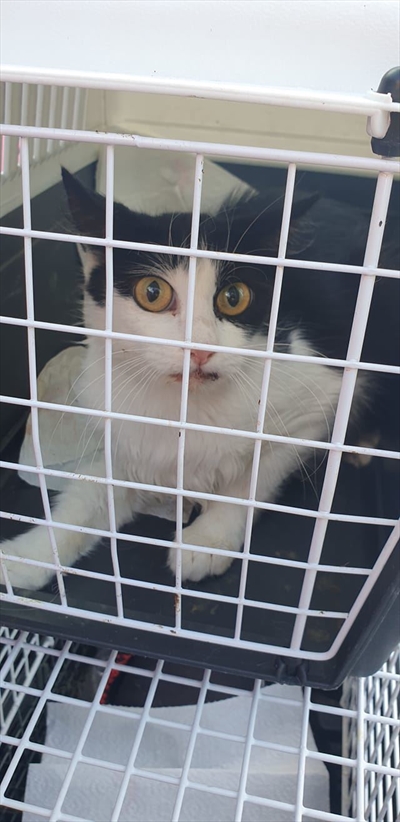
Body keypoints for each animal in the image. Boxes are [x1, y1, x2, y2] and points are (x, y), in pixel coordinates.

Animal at [0, 167, 398, 591]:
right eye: (152, 292)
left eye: (234, 297)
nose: (201, 348)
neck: (186, 405)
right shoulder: (125, 431)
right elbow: (89, 496)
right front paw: (29, 554)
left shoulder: (312, 403)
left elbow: (253, 479)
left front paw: (206, 540)